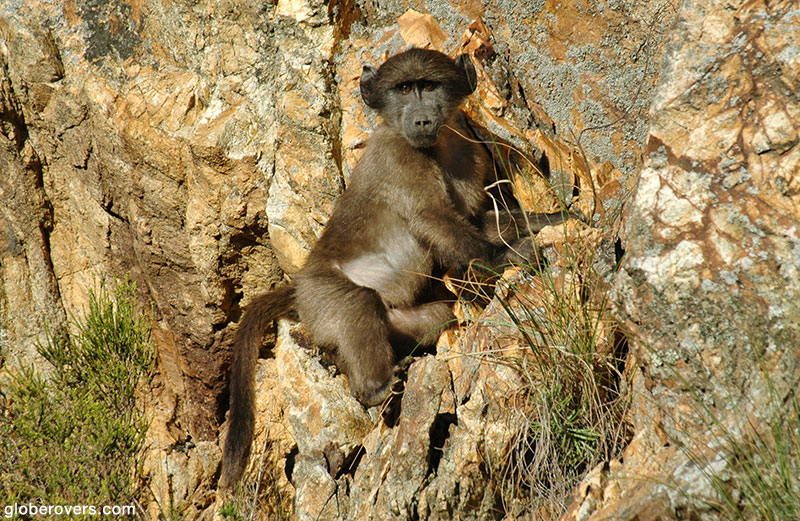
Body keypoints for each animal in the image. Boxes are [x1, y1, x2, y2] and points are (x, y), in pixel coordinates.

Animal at [220, 48, 575, 488]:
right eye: (404, 89)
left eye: (430, 85)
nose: (422, 119)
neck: (433, 148)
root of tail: (299, 282)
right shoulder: (400, 158)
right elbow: (432, 218)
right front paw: (504, 259)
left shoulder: (466, 150)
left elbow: (476, 220)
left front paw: (554, 218)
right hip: (320, 294)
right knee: (358, 303)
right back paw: (374, 389)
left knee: (437, 315)